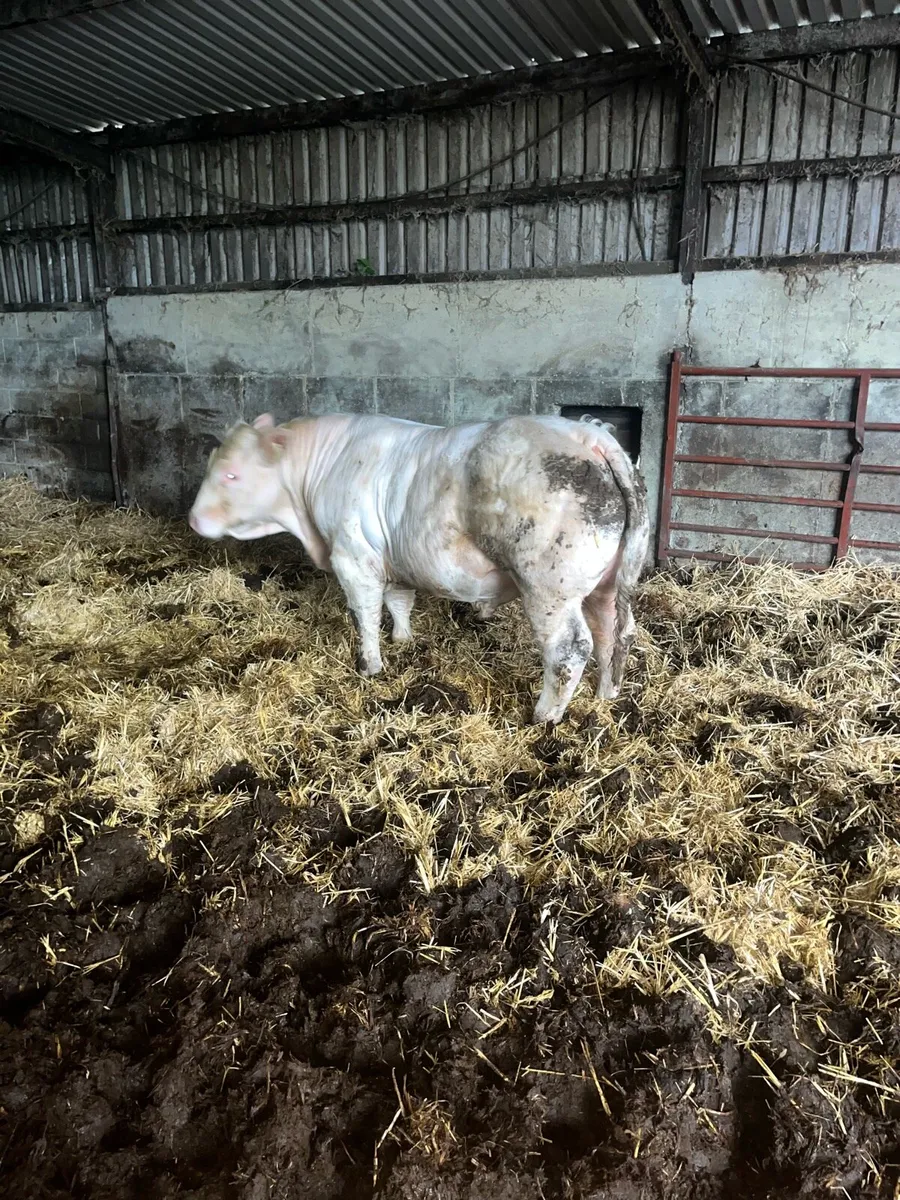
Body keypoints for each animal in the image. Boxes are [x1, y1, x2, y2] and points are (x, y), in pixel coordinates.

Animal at [188, 413, 649, 725]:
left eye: (231, 475)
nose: (192, 519)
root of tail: (587, 433)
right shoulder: (394, 557)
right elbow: (398, 601)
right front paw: (404, 640)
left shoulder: (352, 557)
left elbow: (366, 614)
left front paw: (370, 665)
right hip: (606, 584)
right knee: (615, 633)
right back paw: (607, 694)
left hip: (550, 589)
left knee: (570, 649)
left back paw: (544, 715)